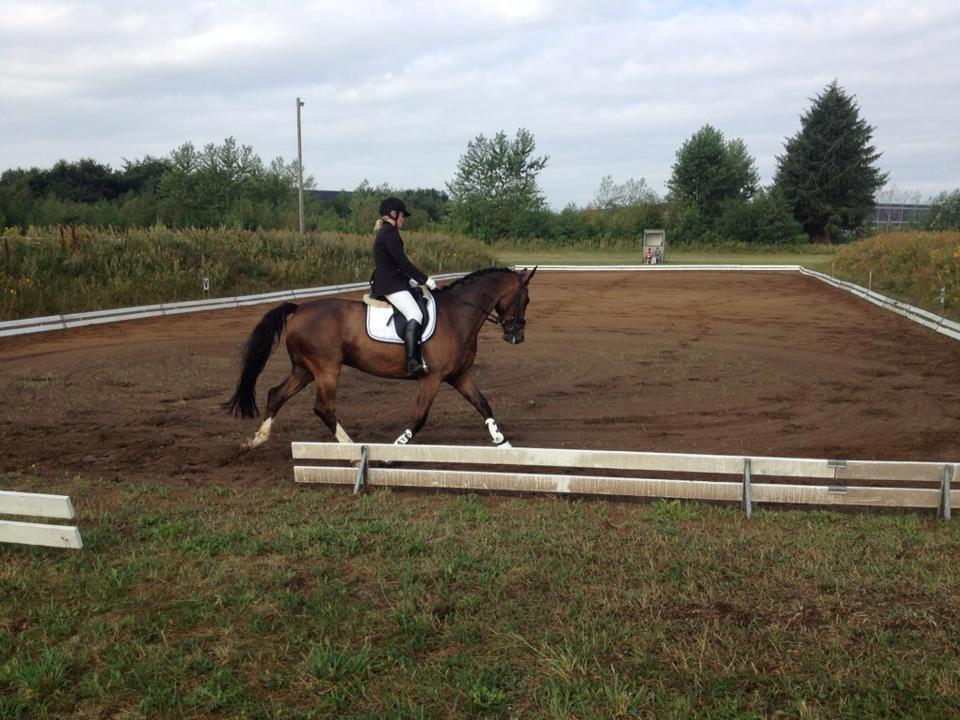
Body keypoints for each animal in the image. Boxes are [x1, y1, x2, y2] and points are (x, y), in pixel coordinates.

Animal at [226, 268, 540, 450]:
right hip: (327, 369)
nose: (516, 336)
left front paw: (503, 443)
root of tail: (298, 309)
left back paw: (255, 440)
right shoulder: (432, 378)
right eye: (524, 299)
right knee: (323, 407)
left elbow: (483, 404)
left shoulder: (457, 375)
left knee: (276, 394)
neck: (458, 315)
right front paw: (398, 445)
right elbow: (419, 417)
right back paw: (351, 450)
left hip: (304, 369)